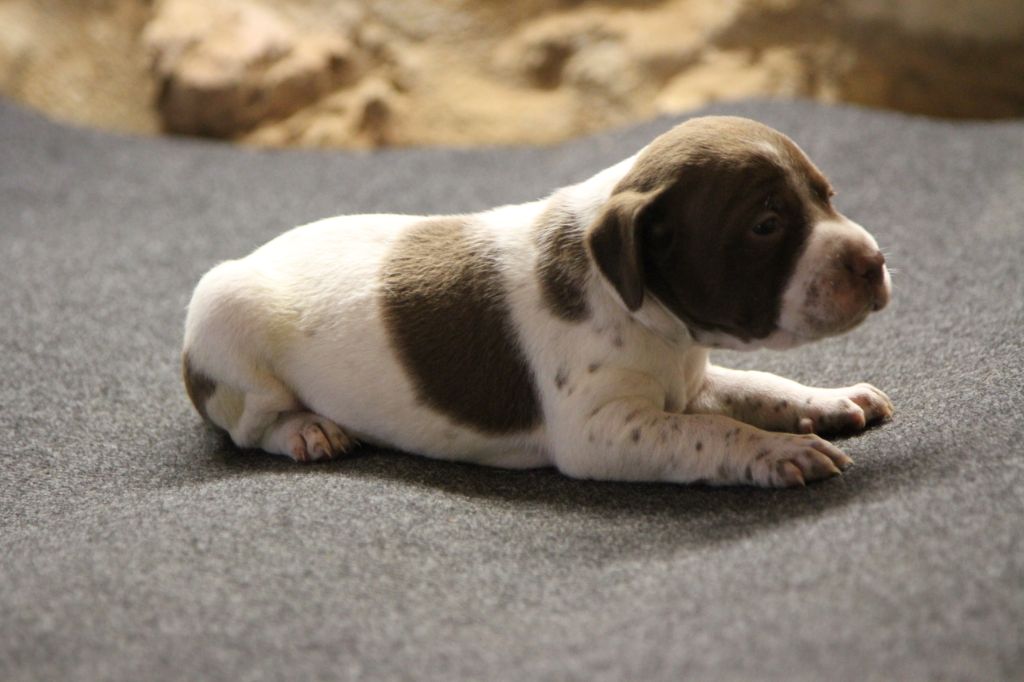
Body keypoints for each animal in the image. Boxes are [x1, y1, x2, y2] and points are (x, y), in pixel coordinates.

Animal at [182, 116, 893, 487]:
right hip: (226, 320)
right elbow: (712, 432)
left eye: (826, 196)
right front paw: (777, 452)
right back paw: (308, 429)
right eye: (765, 224)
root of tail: (250, 256)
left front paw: (828, 400)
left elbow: (760, 387)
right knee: (248, 427)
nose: (875, 262)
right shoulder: (601, 428)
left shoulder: (688, 384)